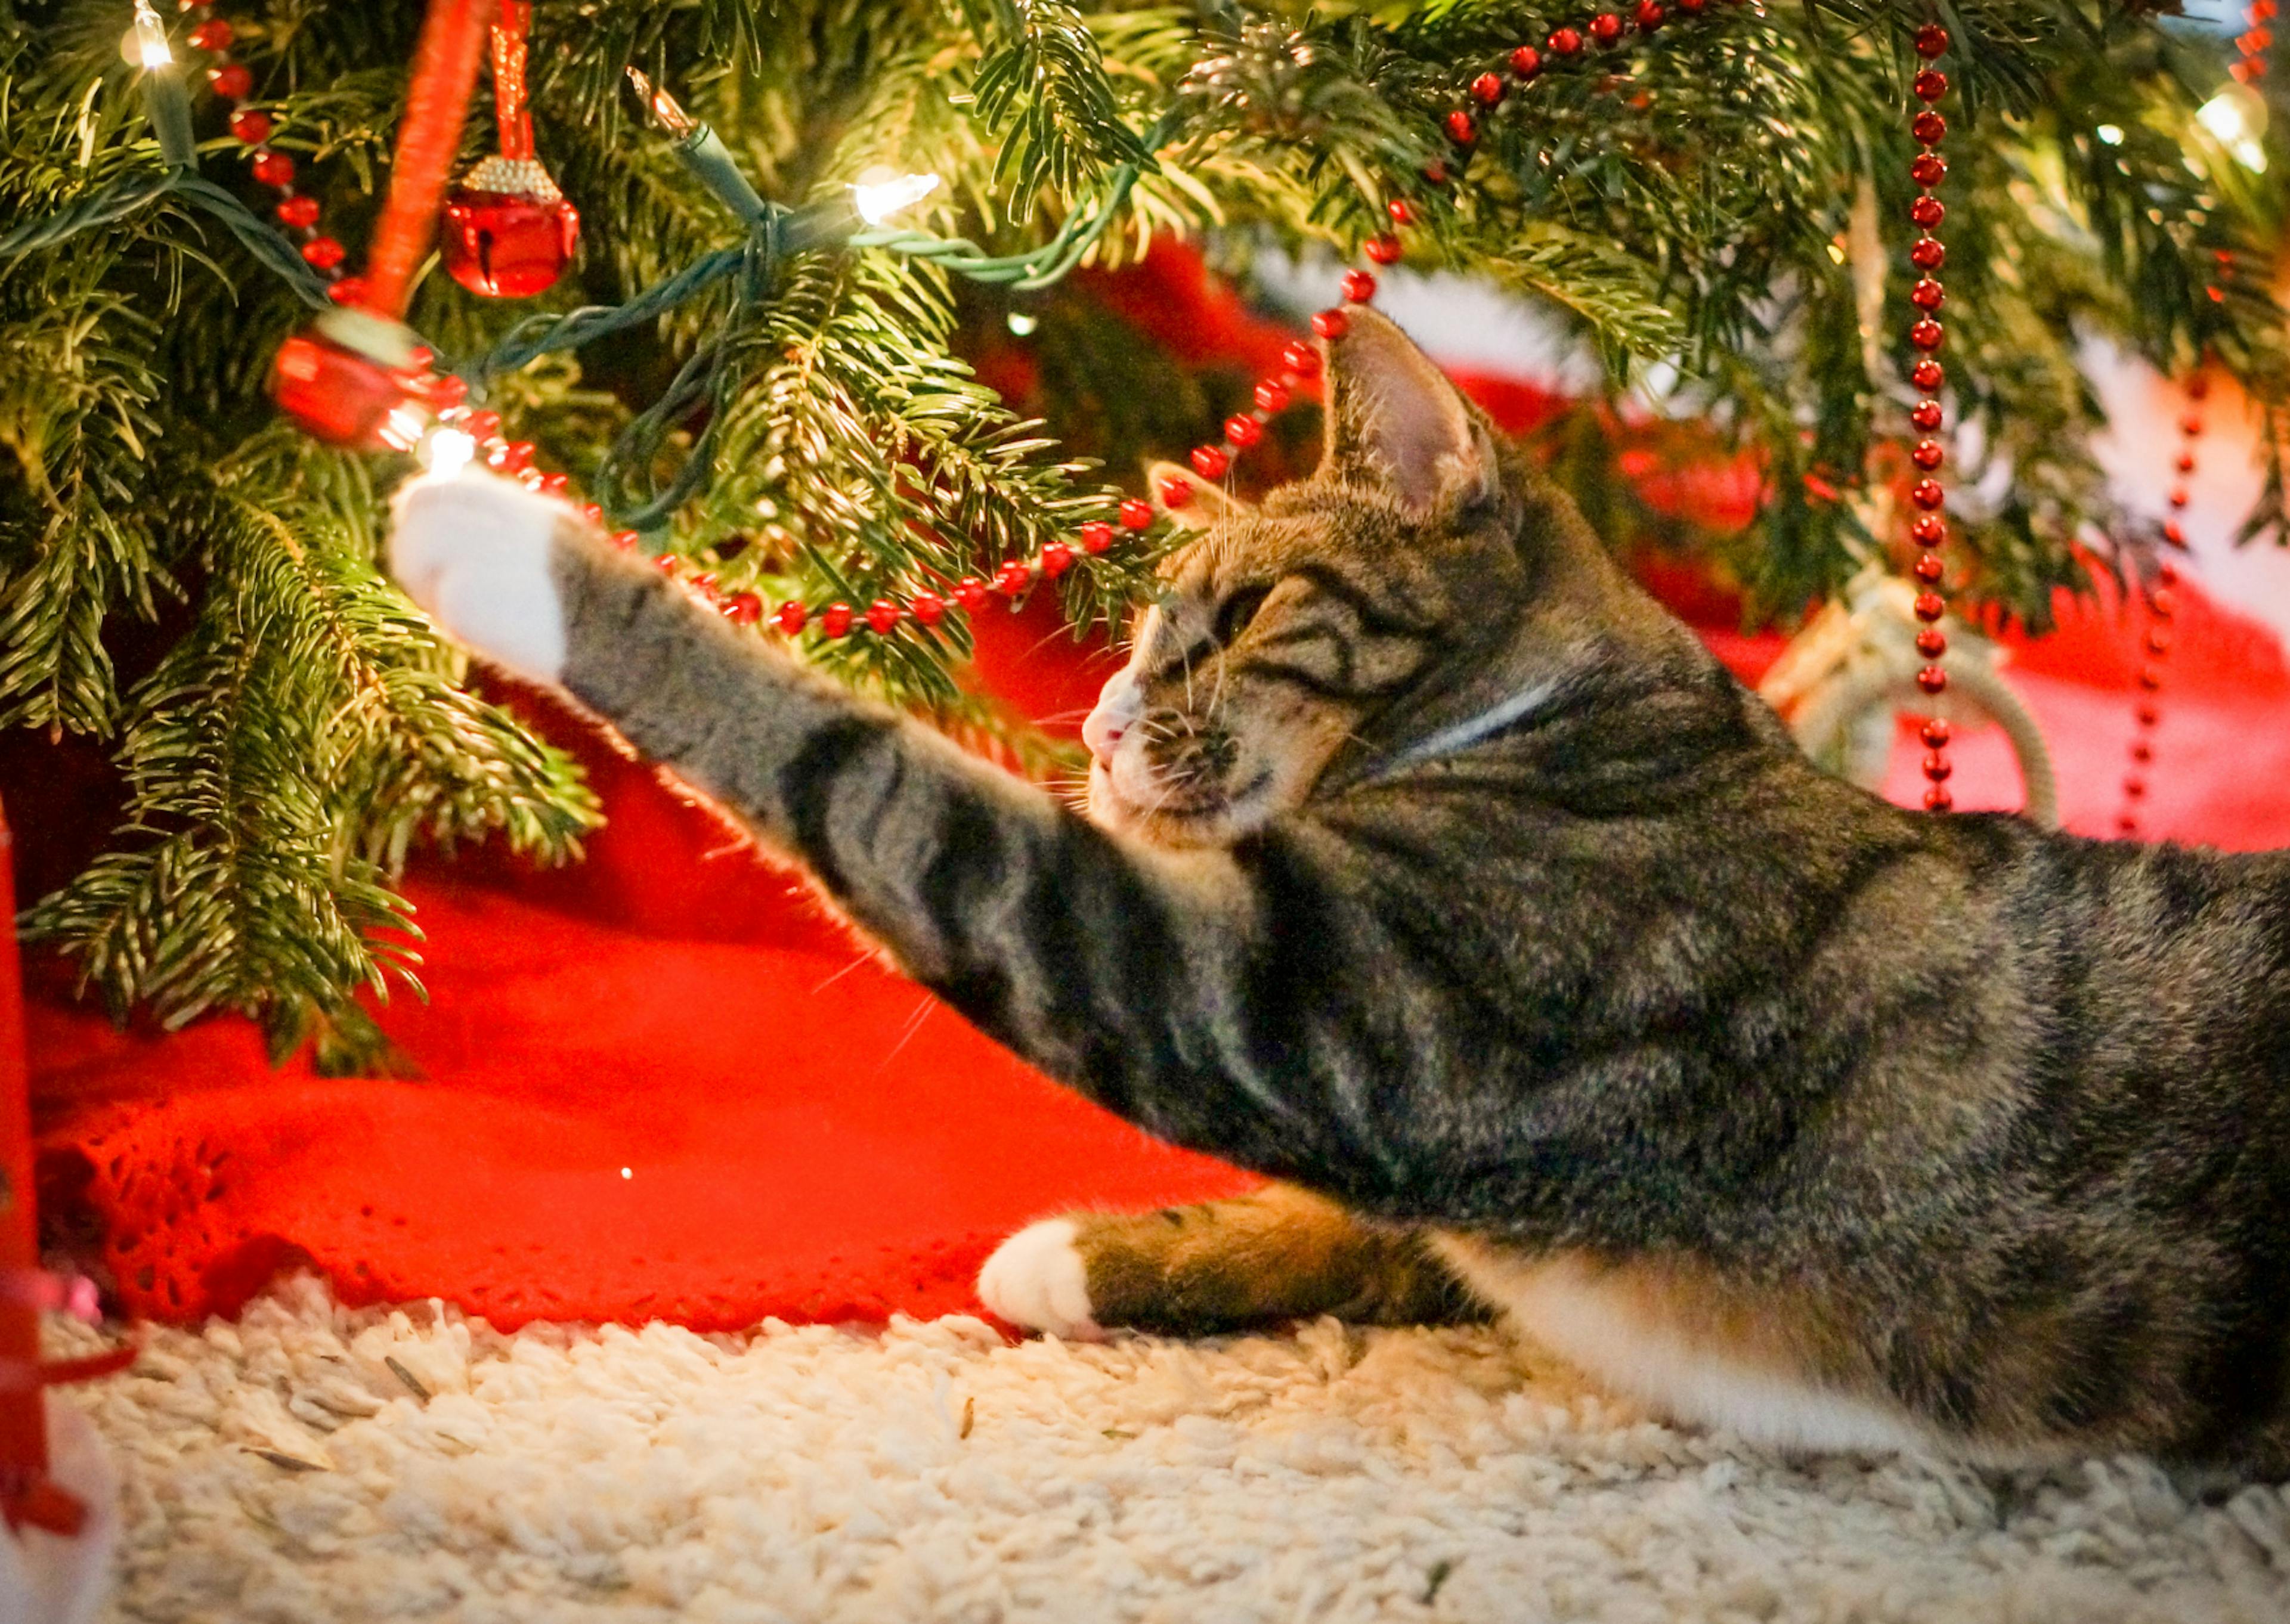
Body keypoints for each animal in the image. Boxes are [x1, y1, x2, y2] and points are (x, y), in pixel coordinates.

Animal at [394, 304, 2290, 1465]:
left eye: (1232, 619)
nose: (1097, 722)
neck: (1581, 726)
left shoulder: (1336, 1001)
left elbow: (888, 788)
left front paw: (506, 546)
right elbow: (1347, 1230)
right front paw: (1084, 1256)